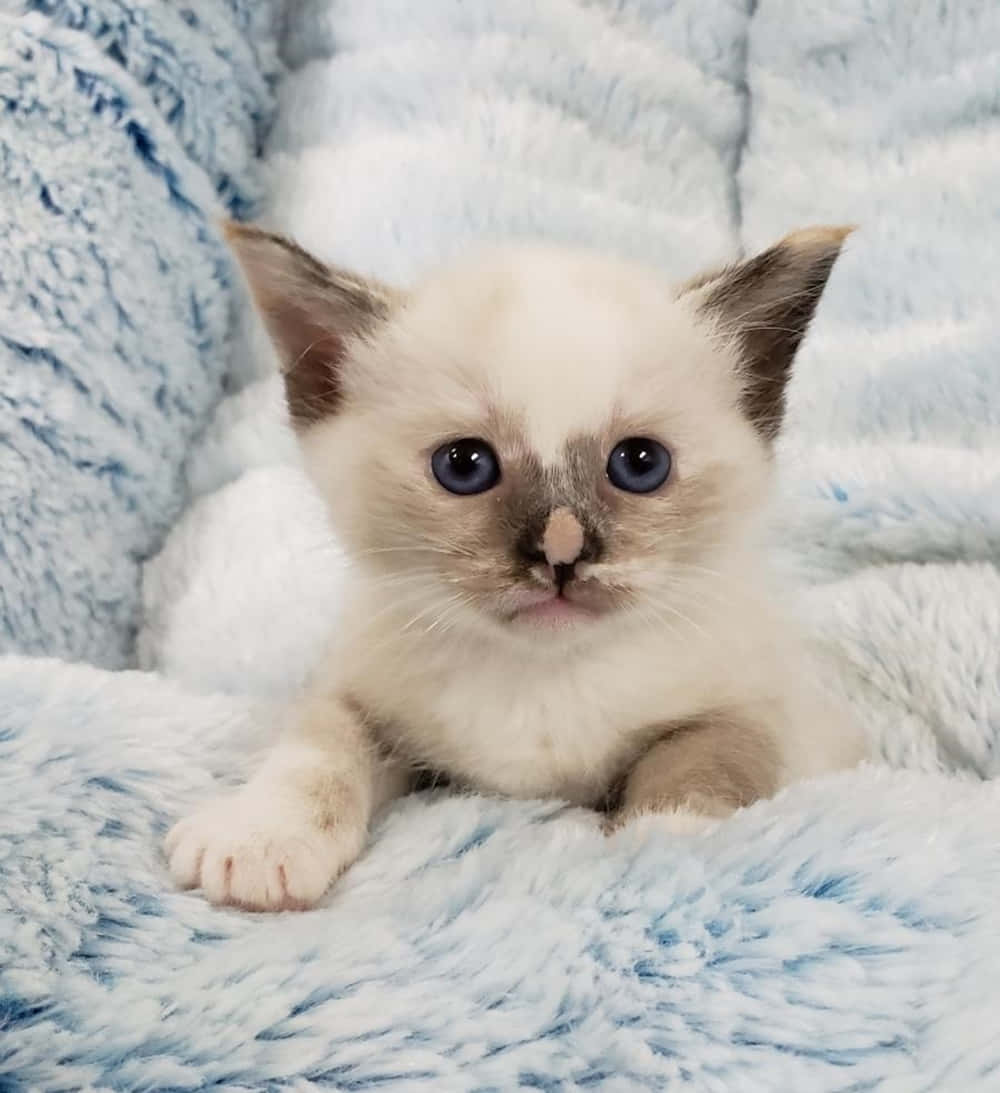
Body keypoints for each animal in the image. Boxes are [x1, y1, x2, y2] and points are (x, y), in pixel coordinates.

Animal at [166, 221, 869, 905]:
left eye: (641, 464)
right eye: (464, 465)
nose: (561, 552)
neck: (540, 680)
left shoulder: (757, 707)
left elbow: (704, 761)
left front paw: (665, 844)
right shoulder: (359, 689)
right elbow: (318, 748)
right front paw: (262, 838)